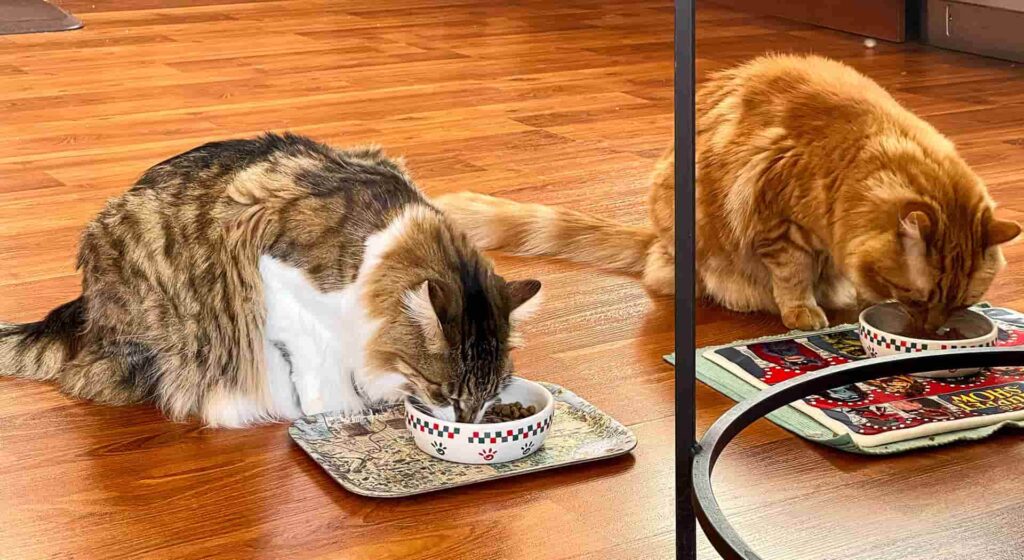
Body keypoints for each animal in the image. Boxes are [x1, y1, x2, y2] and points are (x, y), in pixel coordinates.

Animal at [0, 134, 544, 427]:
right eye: (445, 392)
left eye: (491, 394)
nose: (467, 425)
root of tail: (83, 306)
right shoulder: (275, 278)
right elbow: (318, 364)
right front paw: (331, 409)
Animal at [436, 53, 1019, 331]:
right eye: (918, 298)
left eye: (961, 303)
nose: (935, 332)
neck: (851, 159)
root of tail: (655, 241)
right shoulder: (780, 228)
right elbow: (793, 280)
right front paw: (805, 313)